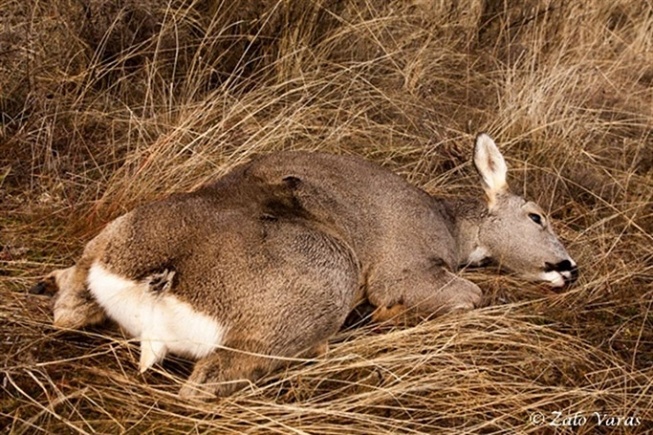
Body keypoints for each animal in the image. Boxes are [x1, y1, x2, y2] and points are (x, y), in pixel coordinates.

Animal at [33, 135, 580, 400]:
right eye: (537, 216)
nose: (570, 267)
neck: (451, 224)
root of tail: (162, 274)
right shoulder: (401, 269)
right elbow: (472, 295)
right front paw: (391, 318)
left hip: (111, 238)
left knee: (69, 306)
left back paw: (50, 281)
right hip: (315, 287)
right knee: (202, 387)